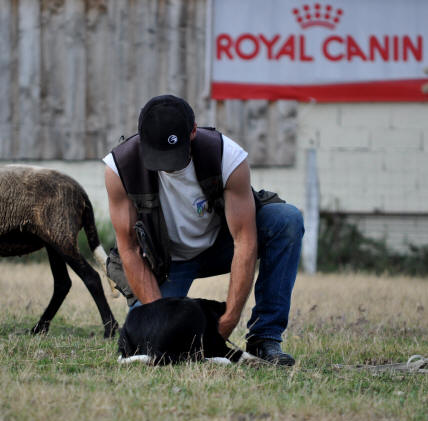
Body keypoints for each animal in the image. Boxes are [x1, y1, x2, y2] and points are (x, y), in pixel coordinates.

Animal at [0, 164, 118, 338]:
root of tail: (81, 192)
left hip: (62, 235)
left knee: (91, 277)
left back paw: (109, 330)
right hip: (53, 241)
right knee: (63, 283)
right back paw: (38, 329)